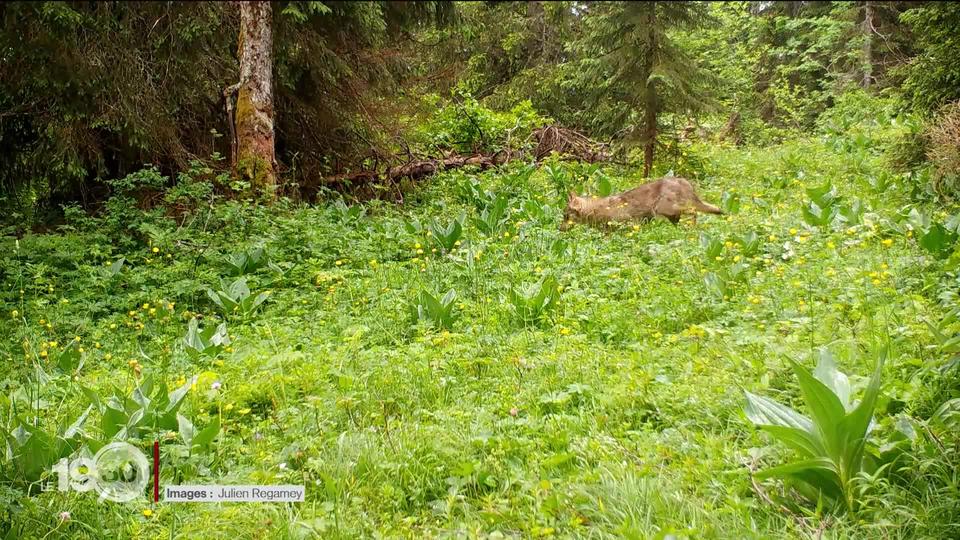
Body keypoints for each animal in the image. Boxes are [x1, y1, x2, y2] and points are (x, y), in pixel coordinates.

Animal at [564, 175, 720, 230]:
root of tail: (682, 180)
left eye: (565, 216)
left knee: (694, 211)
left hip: (665, 210)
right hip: (670, 216)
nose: (560, 228)